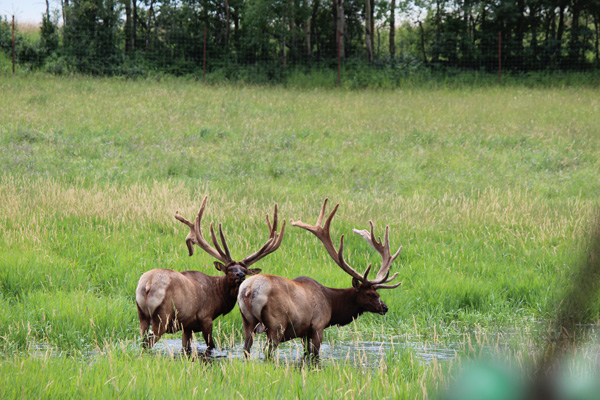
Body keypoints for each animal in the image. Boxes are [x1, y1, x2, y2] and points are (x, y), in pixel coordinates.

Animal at [136, 195, 286, 354]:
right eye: (229, 269)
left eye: (245, 271)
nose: (240, 275)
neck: (217, 298)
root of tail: (147, 285)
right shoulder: (205, 317)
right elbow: (211, 345)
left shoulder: (187, 325)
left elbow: (186, 347)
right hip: (162, 316)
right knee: (148, 343)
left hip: (142, 315)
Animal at [237, 198, 400, 358]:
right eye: (369, 294)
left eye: (378, 293)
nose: (385, 307)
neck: (332, 305)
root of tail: (249, 289)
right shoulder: (317, 326)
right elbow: (314, 356)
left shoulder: (304, 333)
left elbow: (305, 354)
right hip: (276, 324)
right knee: (268, 353)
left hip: (247, 321)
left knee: (246, 349)